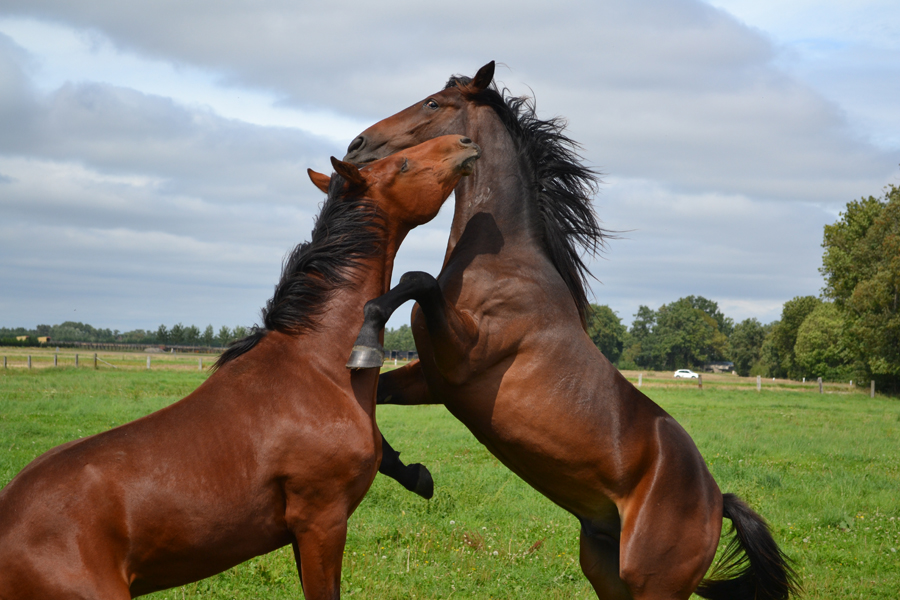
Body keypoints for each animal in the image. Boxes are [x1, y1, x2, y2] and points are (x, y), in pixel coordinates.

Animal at [342, 62, 796, 600]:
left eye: (433, 103)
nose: (357, 144)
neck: (504, 263)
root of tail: (716, 500)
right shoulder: (433, 380)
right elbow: (374, 398)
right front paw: (413, 473)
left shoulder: (463, 356)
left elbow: (416, 281)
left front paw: (364, 345)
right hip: (604, 566)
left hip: (654, 584)